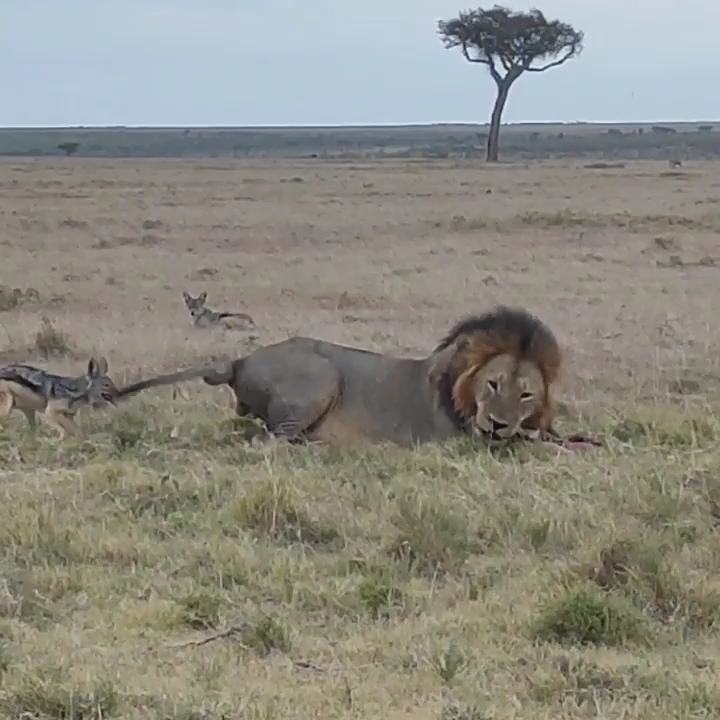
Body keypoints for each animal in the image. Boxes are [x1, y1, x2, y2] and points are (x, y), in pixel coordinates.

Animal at [111, 302, 564, 444]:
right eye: (492, 384)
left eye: (526, 394)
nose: (499, 424)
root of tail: (240, 361)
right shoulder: (460, 442)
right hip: (323, 374)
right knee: (270, 440)